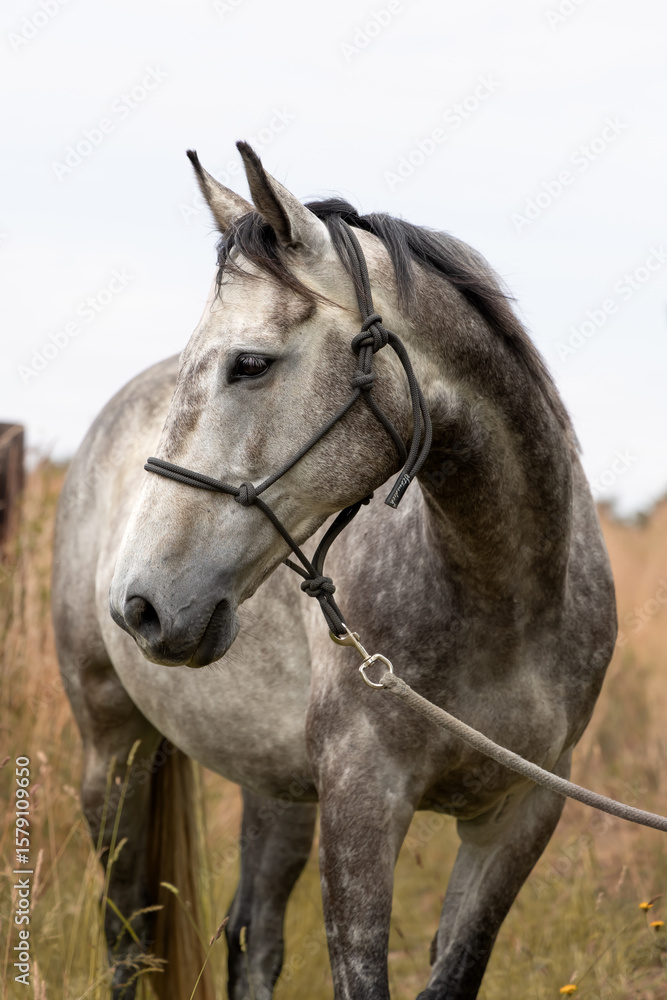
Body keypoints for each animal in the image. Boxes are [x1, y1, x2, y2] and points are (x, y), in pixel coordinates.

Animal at [52, 140, 617, 1000]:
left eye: (250, 364)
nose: (138, 604)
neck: (505, 602)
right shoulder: (361, 804)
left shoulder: (519, 813)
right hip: (112, 756)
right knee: (128, 939)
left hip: (276, 785)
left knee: (252, 938)